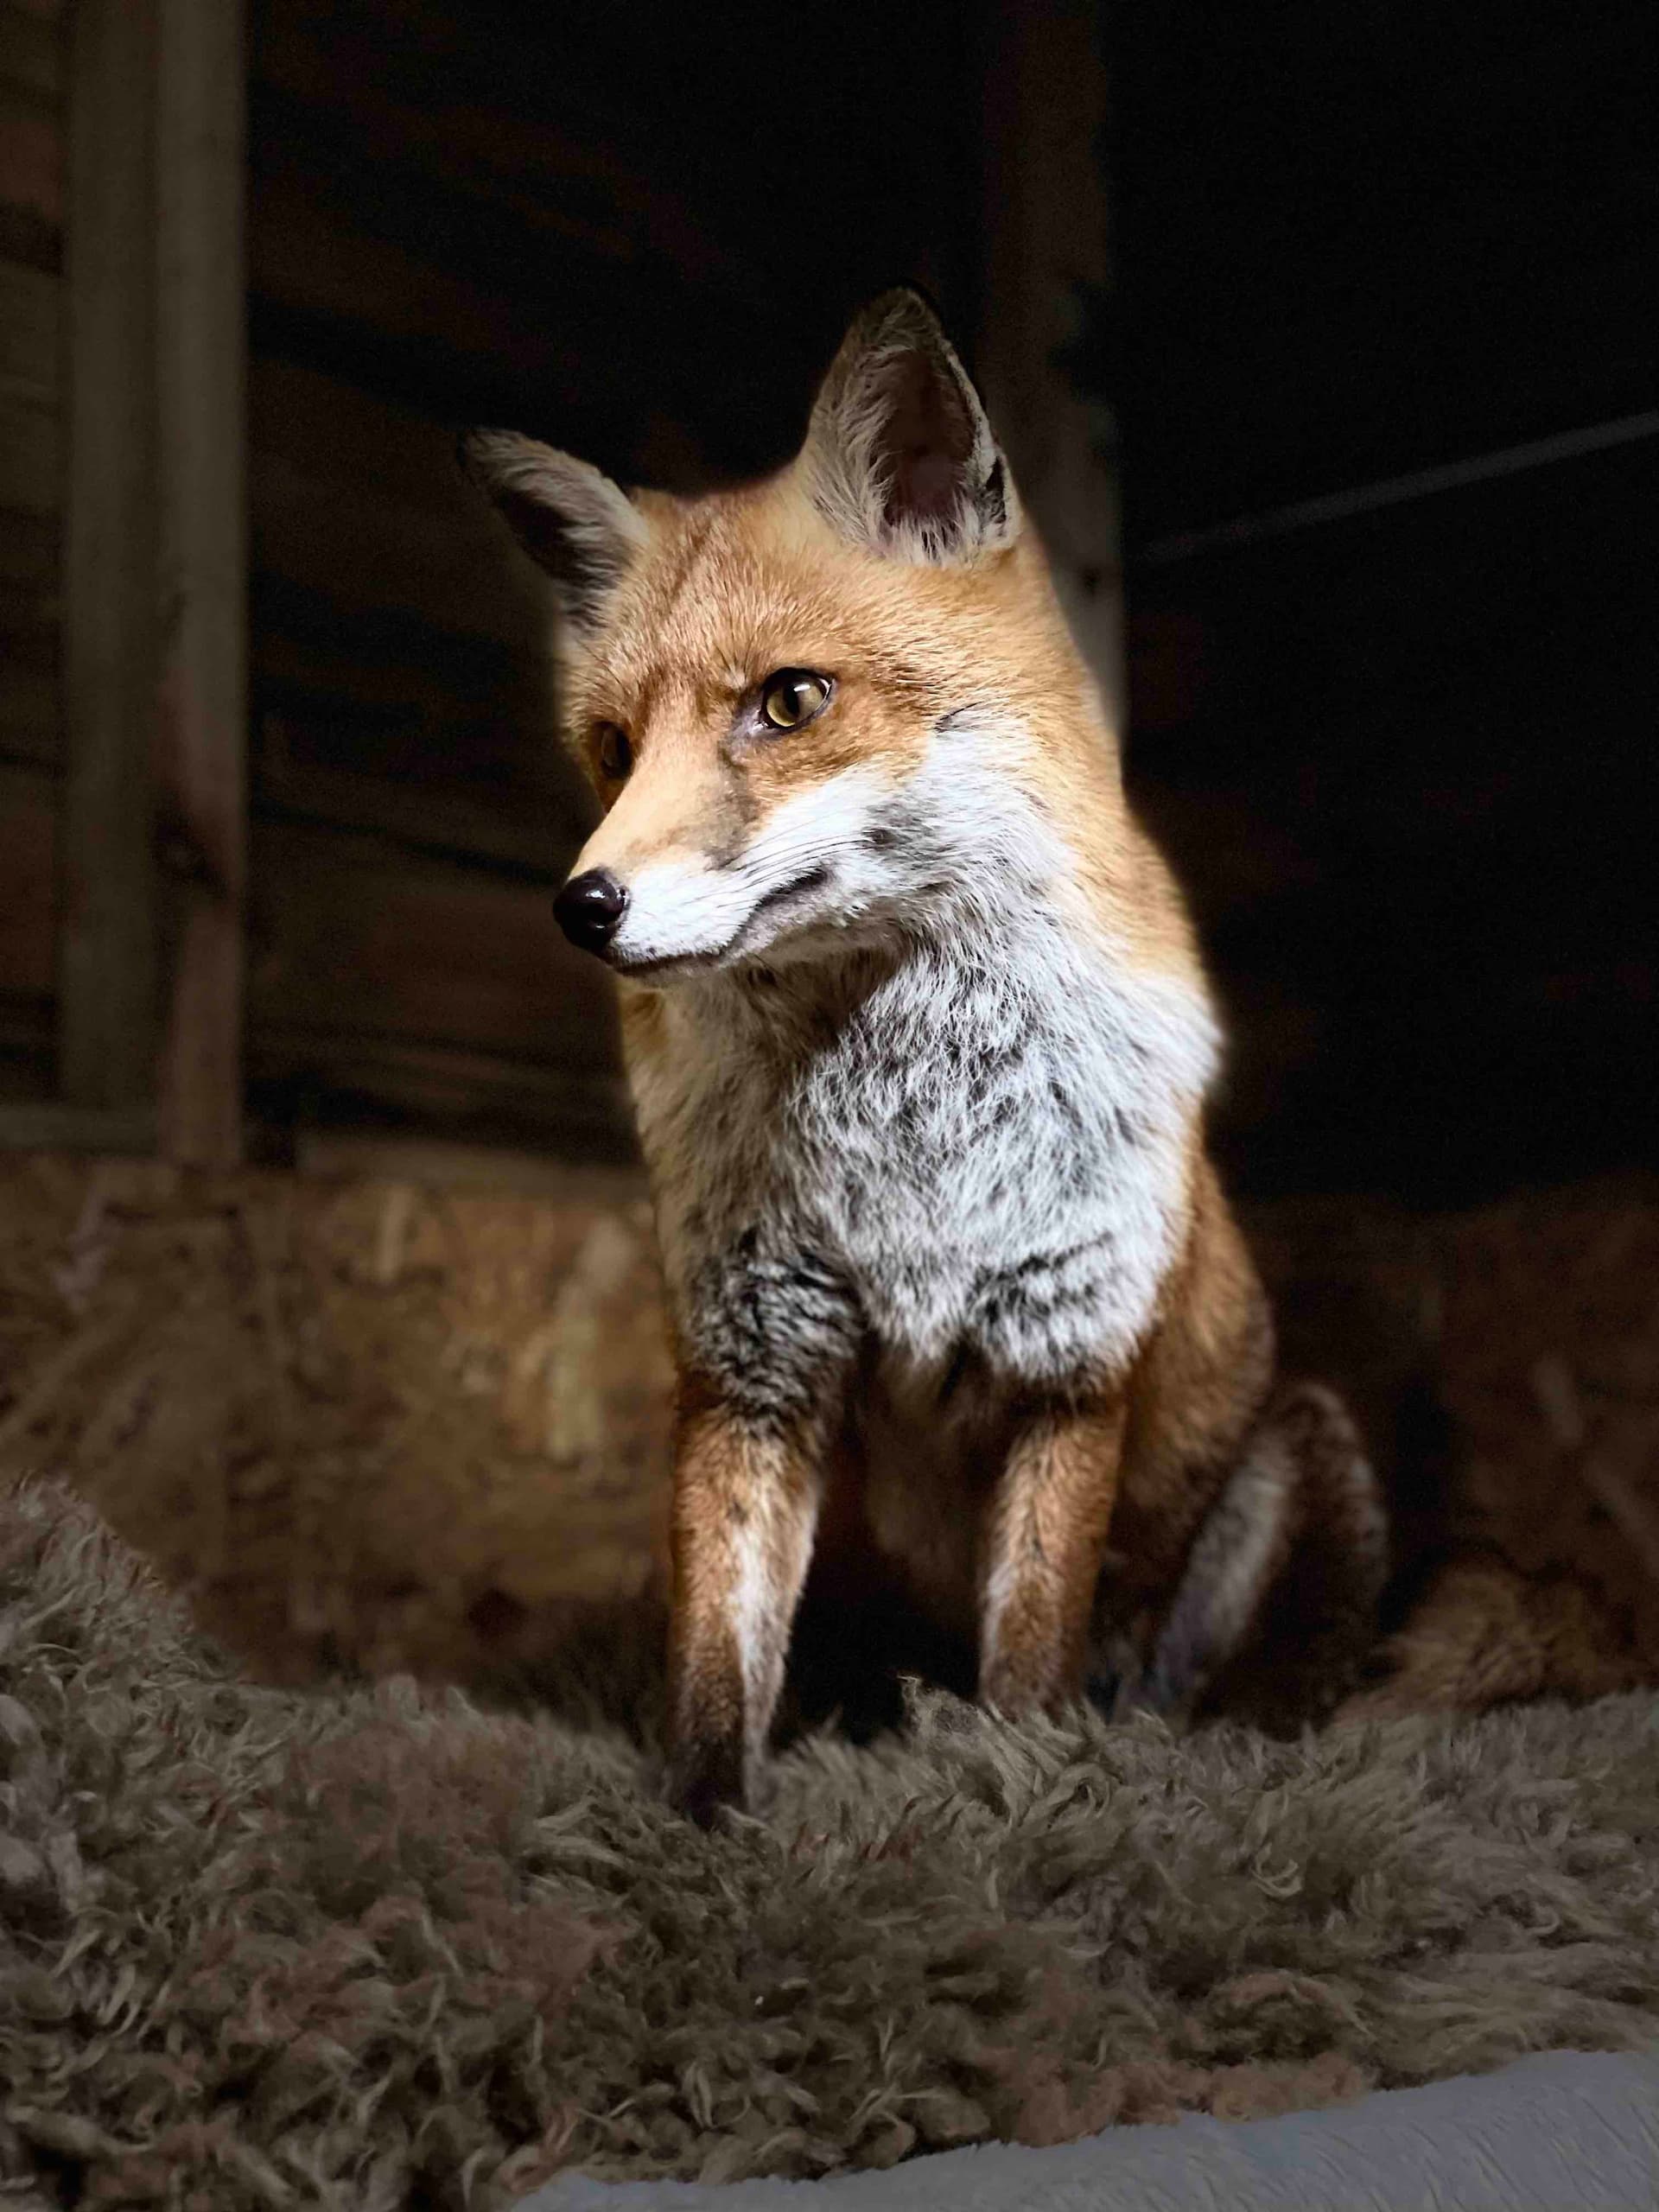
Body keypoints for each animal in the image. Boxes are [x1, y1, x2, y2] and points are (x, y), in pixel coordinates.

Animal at [460, 290, 1385, 1821]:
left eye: (789, 702)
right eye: (614, 746)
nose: (583, 908)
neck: (913, 1136)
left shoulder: (1069, 1362)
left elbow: (1027, 1666)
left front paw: (1014, 1810)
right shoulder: (751, 1368)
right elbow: (713, 1681)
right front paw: (698, 1849)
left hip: (1304, 1459)